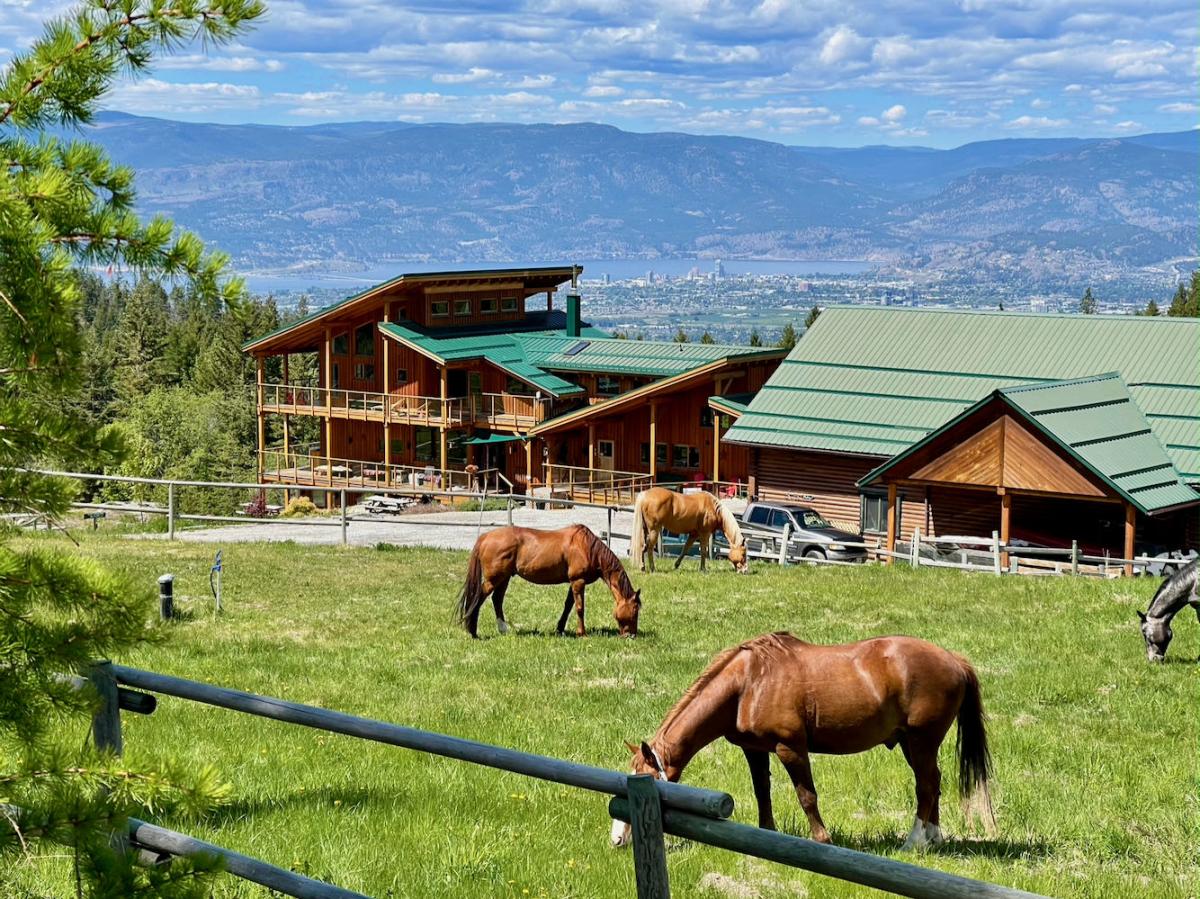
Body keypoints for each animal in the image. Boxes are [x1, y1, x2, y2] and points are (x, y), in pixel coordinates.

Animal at [456, 523, 643, 643]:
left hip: (504, 578)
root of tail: (485, 537)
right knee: (478, 599)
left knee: (497, 600)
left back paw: (503, 629)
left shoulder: (573, 582)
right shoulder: (578, 581)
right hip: (494, 579)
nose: (631, 636)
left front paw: (560, 629)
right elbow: (579, 608)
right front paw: (582, 633)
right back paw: (473, 632)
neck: (586, 547)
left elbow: (568, 606)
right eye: (635, 611)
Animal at [609, 628, 993, 849]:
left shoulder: (790, 747)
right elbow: (762, 792)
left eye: (646, 780)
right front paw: (766, 834)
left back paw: (914, 842)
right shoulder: (755, 749)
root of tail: (954, 661)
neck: (748, 683)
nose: (617, 839)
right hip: (912, 745)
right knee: (934, 783)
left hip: (921, 741)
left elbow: (806, 796)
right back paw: (933, 838)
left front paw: (822, 839)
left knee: (925, 786)